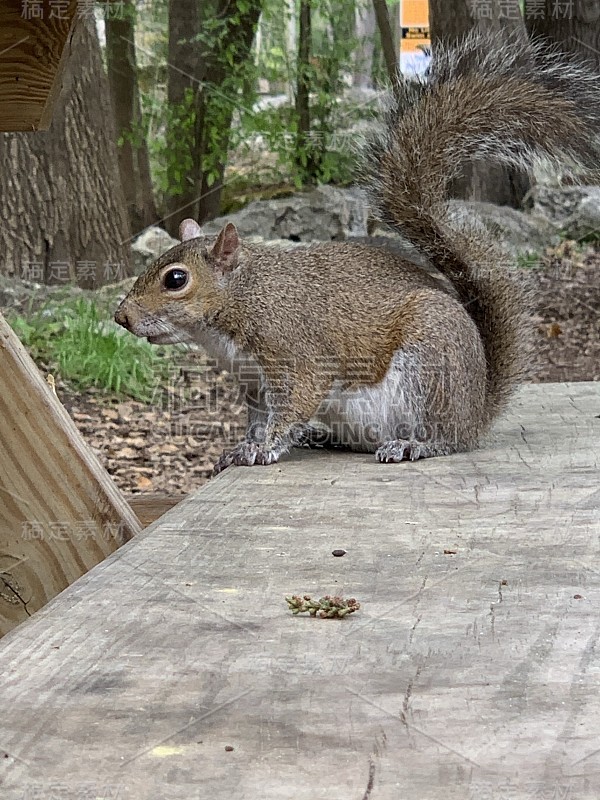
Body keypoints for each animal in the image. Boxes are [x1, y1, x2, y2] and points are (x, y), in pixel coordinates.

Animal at [115, 32, 600, 476]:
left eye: (176, 279)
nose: (121, 317)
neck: (246, 297)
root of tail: (476, 411)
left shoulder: (296, 355)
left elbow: (292, 405)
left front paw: (264, 448)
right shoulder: (253, 382)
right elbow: (257, 419)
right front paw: (242, 447)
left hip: (429, 367)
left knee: (444, 438)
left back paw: (412, 445)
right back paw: (321, 437)